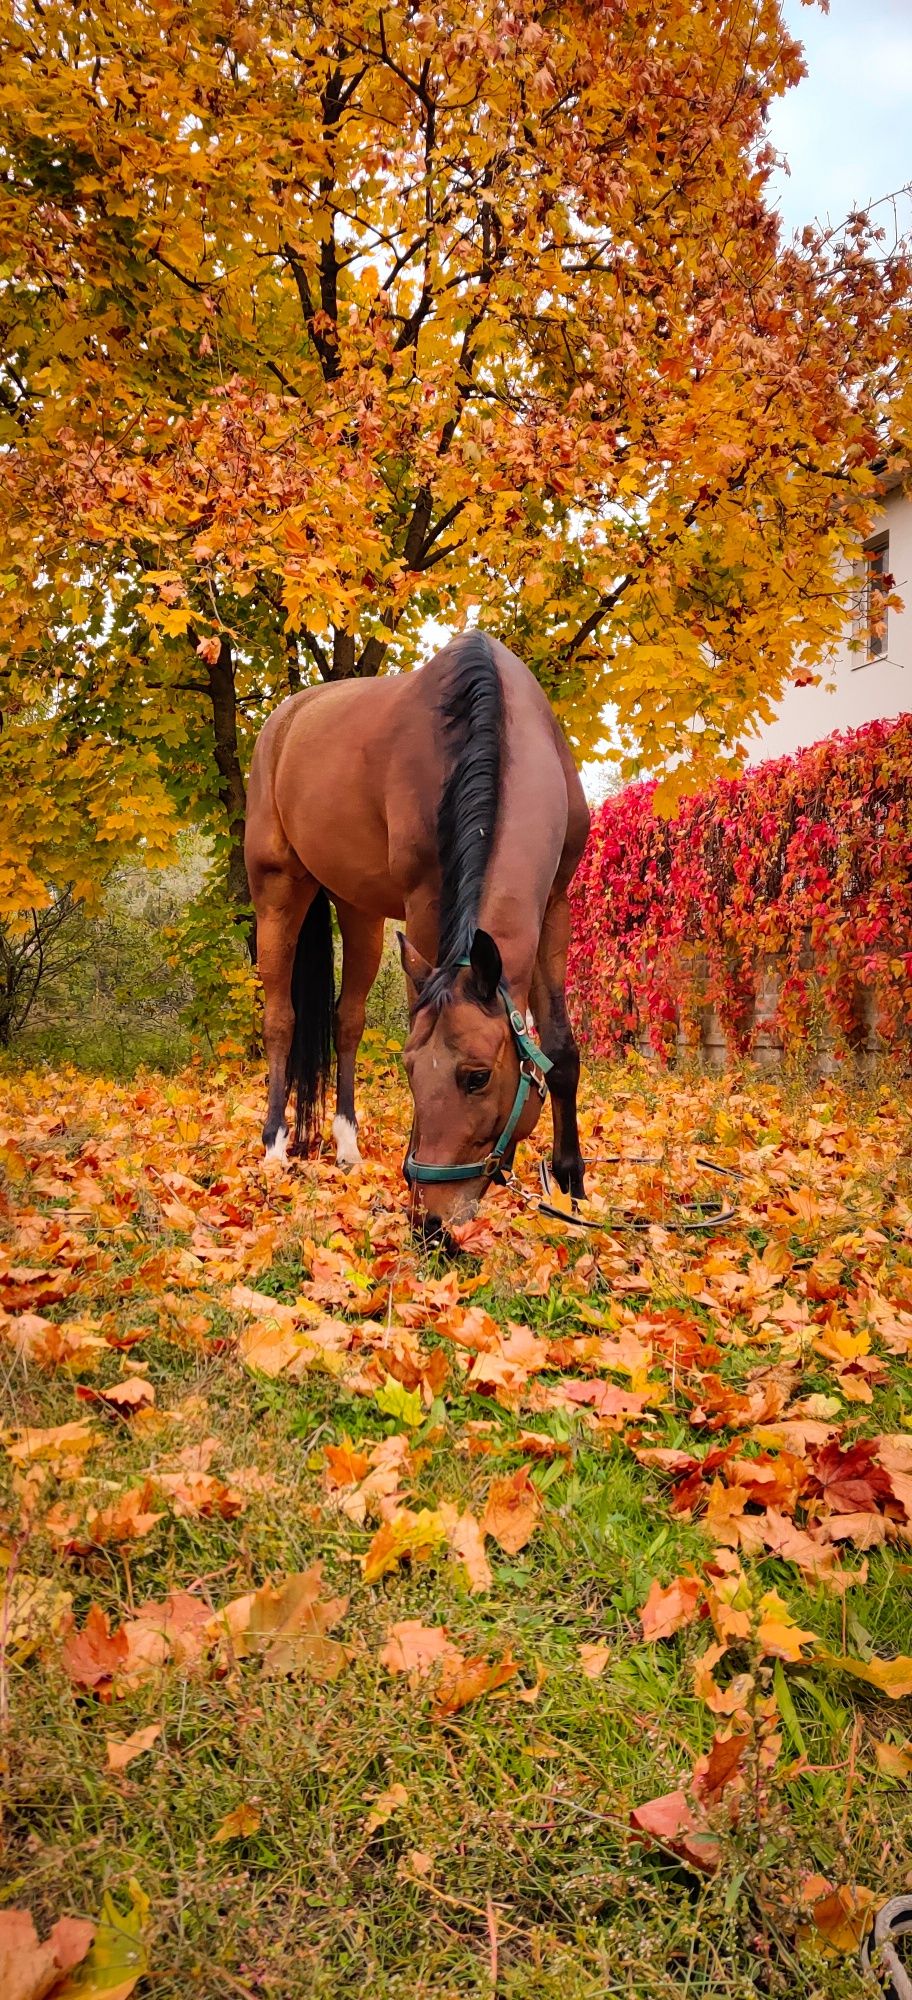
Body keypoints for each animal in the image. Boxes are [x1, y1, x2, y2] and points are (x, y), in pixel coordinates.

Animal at [244, 632, 592, 1224]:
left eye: (477, 1076)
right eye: (409, 1069)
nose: (431, 1220)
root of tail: (281, 723)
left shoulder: (555, 905)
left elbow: (561, 1049)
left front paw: (572, 1184)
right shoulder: (427, 901)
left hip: (357, 908)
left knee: (347, 1021)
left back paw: (347, 1146)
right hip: (277, 892)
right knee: (280, 1021)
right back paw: (275, 1146)